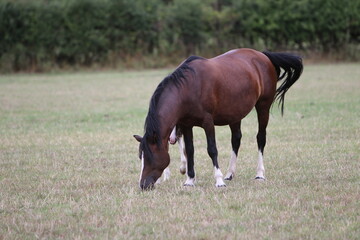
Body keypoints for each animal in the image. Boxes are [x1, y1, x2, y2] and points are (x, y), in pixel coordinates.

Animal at [134, 48, 302, 189]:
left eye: (149, 157)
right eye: (140, 157)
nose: (143, 185)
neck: (188, 88)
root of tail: (263, 55)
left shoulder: (208, 123)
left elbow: (212, 149)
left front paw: (219, 180)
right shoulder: (186, 125)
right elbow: (190, 150)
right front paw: (190, 180)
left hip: (263, 107)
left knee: (261, 138)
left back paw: (259, 174)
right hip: (235, 114)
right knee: (236, 140)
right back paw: (230, 174)